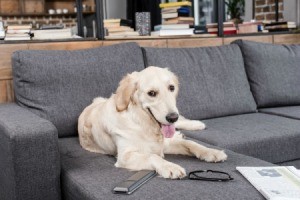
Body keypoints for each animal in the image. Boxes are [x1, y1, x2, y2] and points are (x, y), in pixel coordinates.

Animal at [78, 66, 227, 179]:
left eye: (171, 88)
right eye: (152, 93)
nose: (172, 117)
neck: (143, 122)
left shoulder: (165, 144)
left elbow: (191, 143)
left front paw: (211, 152)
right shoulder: (125, 156)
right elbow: (152, 156)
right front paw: (170, 166)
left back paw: (196, 124)